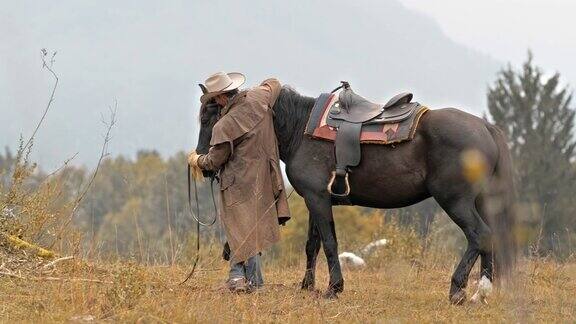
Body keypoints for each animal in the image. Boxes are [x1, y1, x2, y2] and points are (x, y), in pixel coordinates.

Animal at [195, 86, 516, 304]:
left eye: (211, 116)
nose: (202, 160)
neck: (300, 129)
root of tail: (485, 127)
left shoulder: (318, 199)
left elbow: (329, 243)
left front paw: (333, 288)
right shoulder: (314, 200)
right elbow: (312, 245)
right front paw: (307, 285)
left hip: (455, 201)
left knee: (479, 235)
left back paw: (458, 289)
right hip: (481, 201)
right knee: (490, 238)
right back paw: (480, 292)